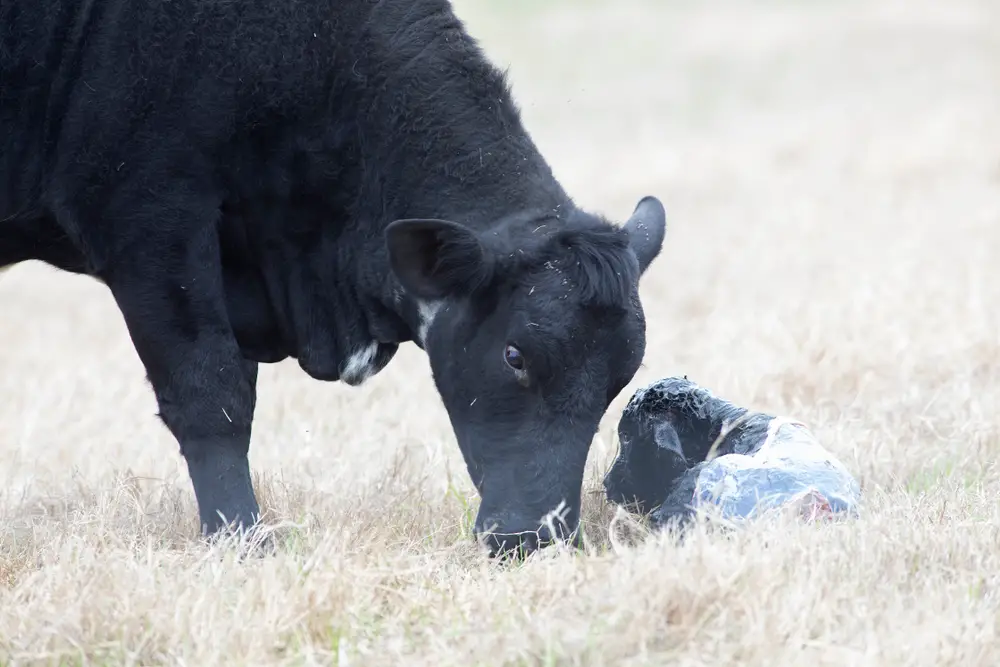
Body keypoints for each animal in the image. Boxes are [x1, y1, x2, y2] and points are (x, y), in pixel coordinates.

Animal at [5, 0, 672, 556]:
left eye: (618, 379)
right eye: (515, 355)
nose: (538, 538)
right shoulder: (150, 219)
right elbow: (210, 394)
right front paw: (240, 539)